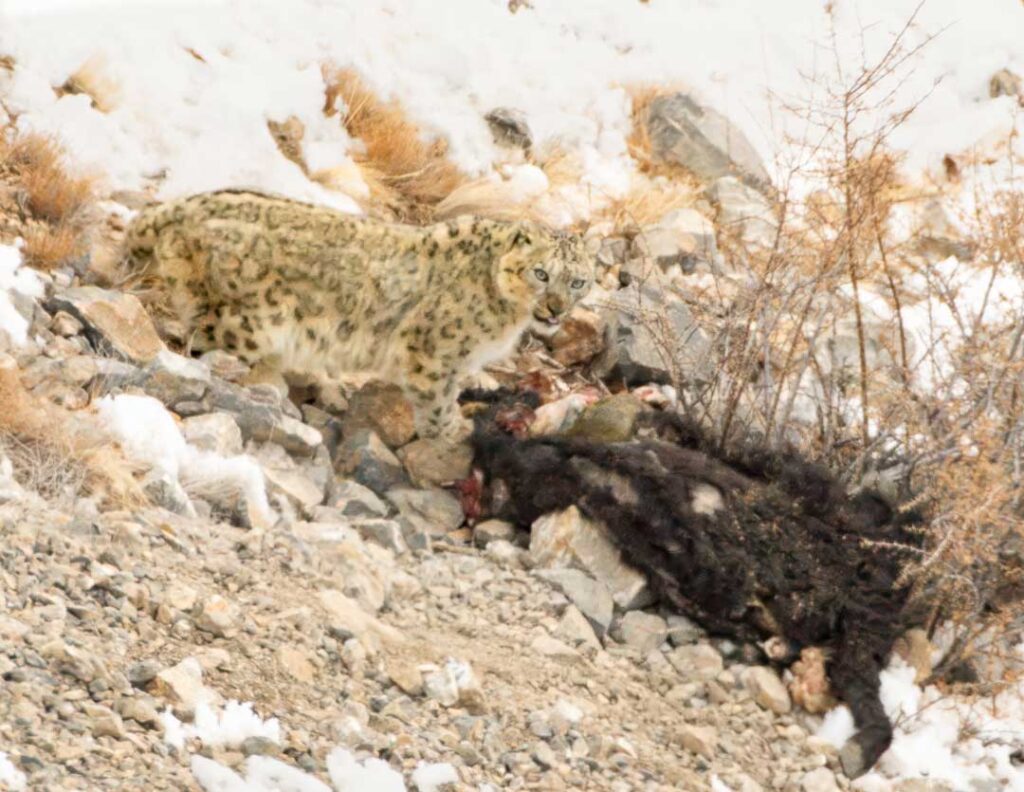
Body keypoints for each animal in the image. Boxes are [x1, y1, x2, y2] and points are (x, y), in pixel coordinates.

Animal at [123, 189, 594, 440]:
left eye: (578, 281)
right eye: (540, 273)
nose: (555, 309)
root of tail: (185, 203)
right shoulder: (432, 351)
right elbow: (438, 401)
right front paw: (455, 432)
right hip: (250, 321)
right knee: (206, 341)